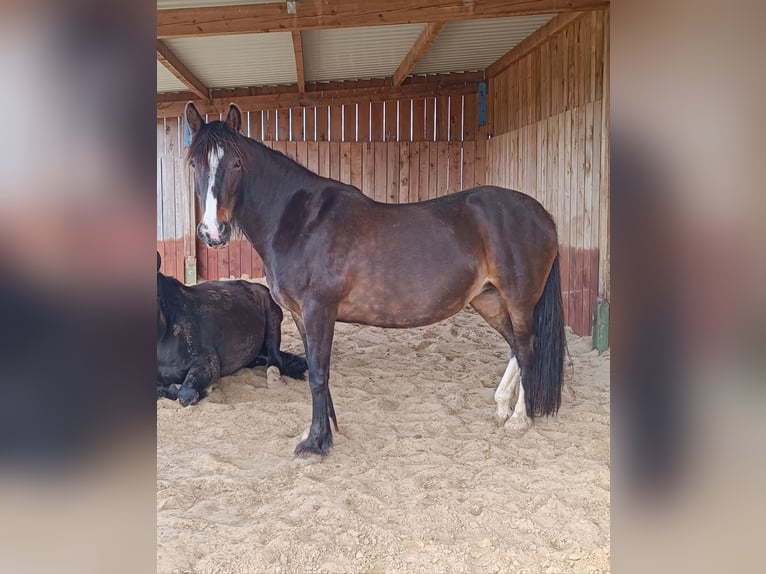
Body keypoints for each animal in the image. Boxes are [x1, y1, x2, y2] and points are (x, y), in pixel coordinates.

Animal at [186, 103, 568, 462]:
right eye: (193, 164)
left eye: (236, 163)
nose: (213, 232)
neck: (300, 221)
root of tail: (543, 215)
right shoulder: (300, 315)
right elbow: (317, 372)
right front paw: (327, 431)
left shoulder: (318, 311)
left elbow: (318, 374)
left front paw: (316, 444)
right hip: (489, 300)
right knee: (516, 346)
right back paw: (502, 406)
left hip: (519, 300)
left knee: (528, 347)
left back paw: (519, 419)